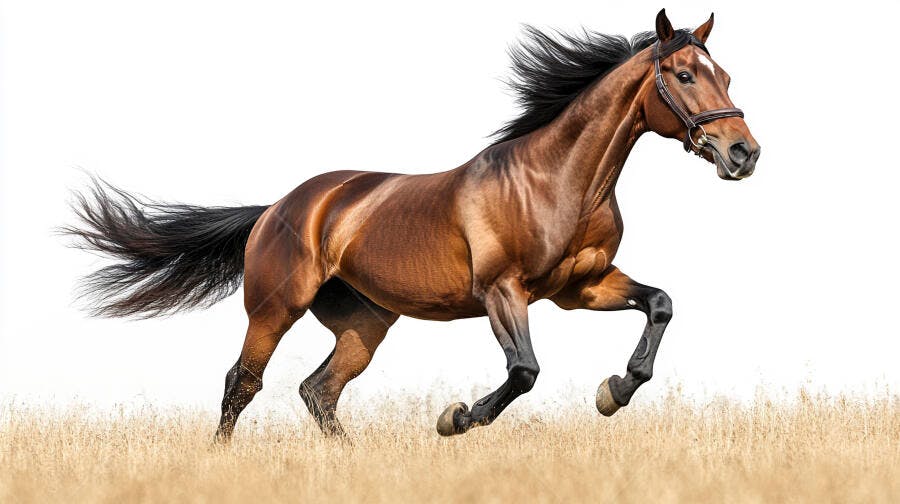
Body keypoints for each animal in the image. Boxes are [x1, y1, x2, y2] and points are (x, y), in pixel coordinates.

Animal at [64, 9, 759, 439]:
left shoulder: (580, 288)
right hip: (275, 308)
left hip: (365, 322)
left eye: (725, 74)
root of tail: (278, 208)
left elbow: (660, 304)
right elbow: (524, 371)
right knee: (244, 382)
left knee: (318, 390)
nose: (743, 153)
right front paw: (457, 418)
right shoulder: (502, 292)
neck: (556, 181)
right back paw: (222, 456)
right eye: (683, 75)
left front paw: (614, 390)